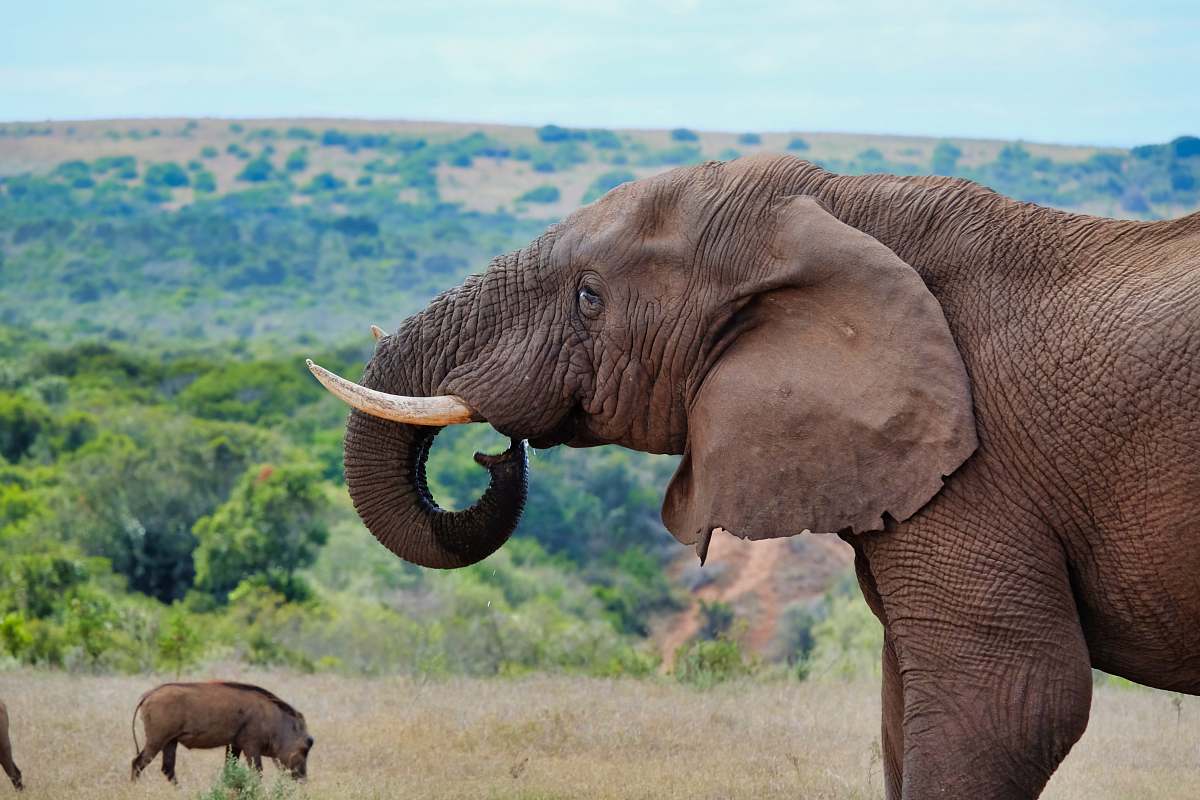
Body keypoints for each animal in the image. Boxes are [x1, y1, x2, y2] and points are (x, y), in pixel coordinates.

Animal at [309, 153, 1200, 796]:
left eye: (591, 297)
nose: (494, 455)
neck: (839, 207)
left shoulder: (980, 472)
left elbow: (1014, 702)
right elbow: (905, 713)